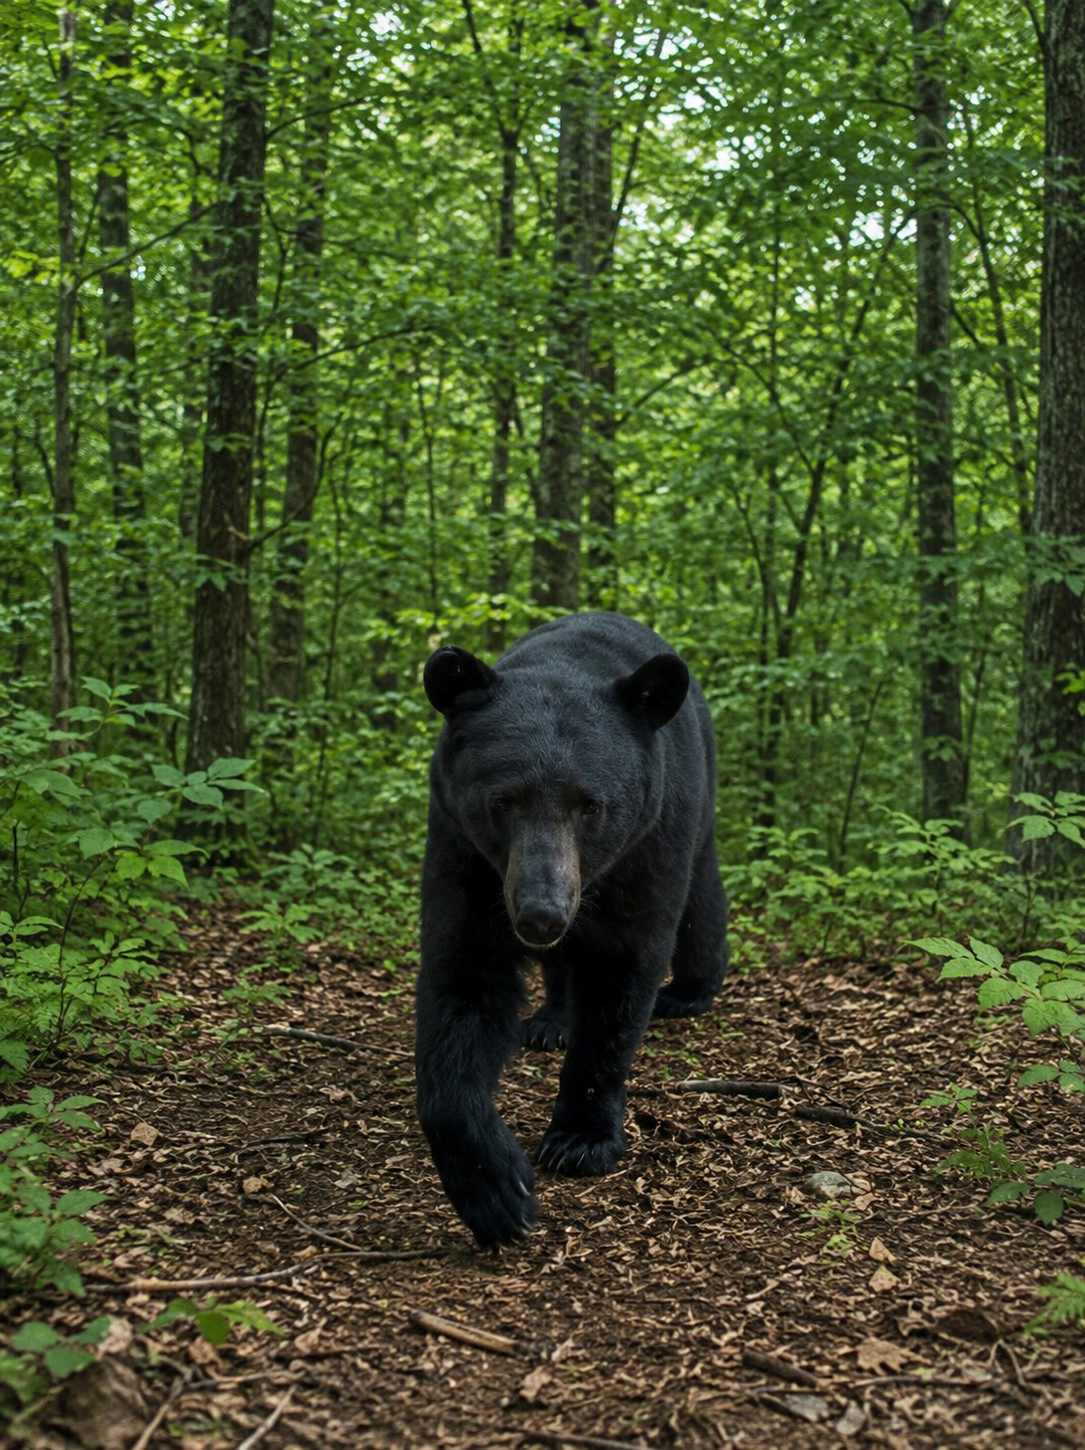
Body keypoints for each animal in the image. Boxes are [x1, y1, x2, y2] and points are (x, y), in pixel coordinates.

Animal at [415, 611, 729, 1248]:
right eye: (503, 800)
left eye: (591, 805)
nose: (543, 912)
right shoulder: (465, 854)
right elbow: (461, 981)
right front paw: (497, 1190)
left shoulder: (646, 845)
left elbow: (621, 981)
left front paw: (581, 1137)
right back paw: (551, 1020)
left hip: (697, 804)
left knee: (701, 896)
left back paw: (689, 990)